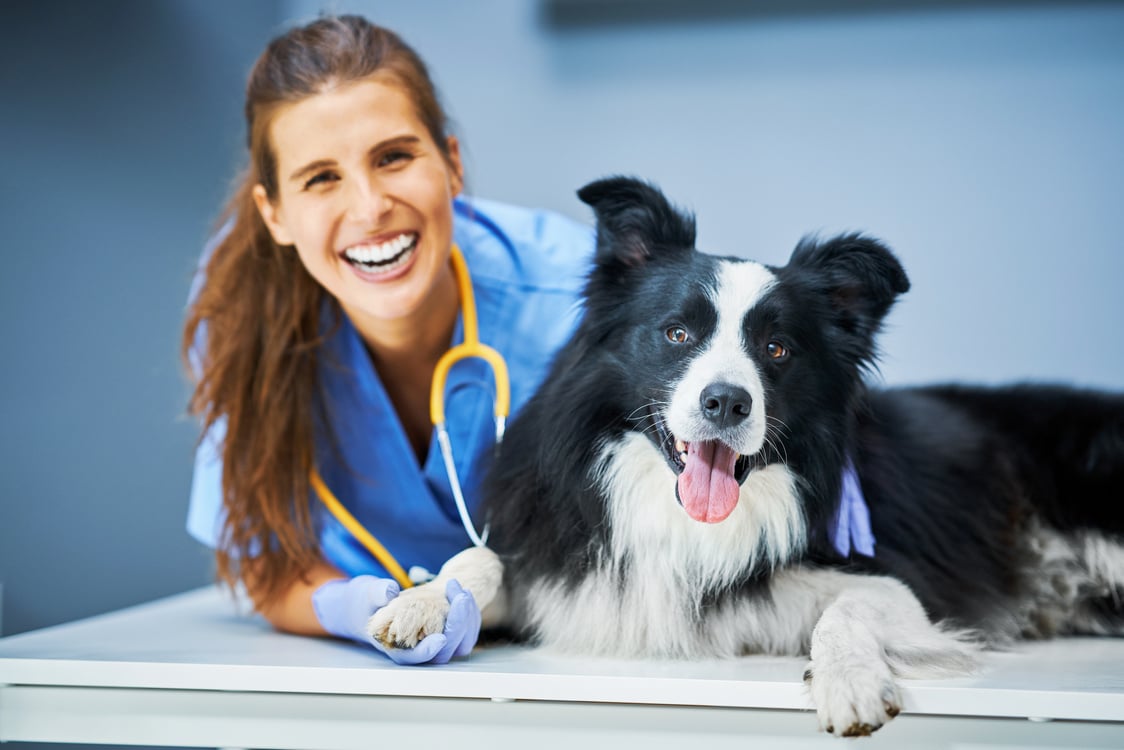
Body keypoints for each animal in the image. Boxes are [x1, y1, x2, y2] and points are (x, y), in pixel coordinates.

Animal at [373, 177, 1124, 737]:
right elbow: (483, 560)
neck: (683, 520)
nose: (727, 403)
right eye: (677, 333)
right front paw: (423, 602)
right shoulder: (569, 567)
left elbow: (851, 606)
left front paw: (849, 681)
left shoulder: (903, 588)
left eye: (777, 349)